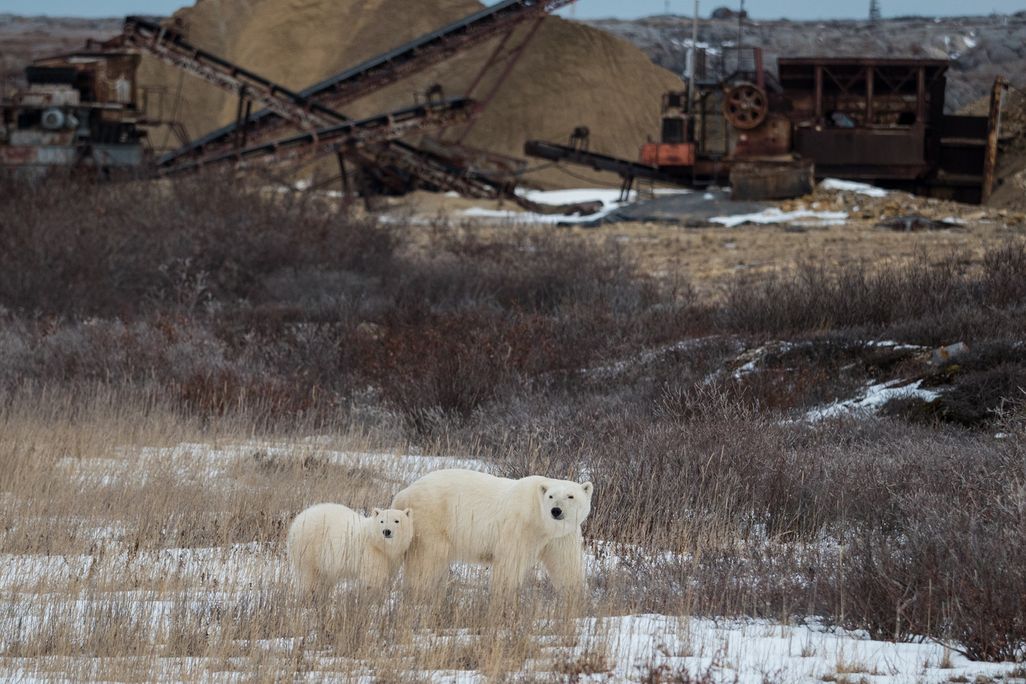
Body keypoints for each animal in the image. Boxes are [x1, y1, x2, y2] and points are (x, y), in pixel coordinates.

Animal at [391, 469, 594, 601]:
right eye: (551, 496)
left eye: (570, 496)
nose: (556, 511)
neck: (541, 521)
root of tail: (402, 495)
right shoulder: (520, 525)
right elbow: (510, 561)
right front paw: (503, 598)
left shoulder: (562, 536)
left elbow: (567, 565)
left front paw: (576, 598)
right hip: (431, 520)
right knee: (426, 560)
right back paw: (420, 593)